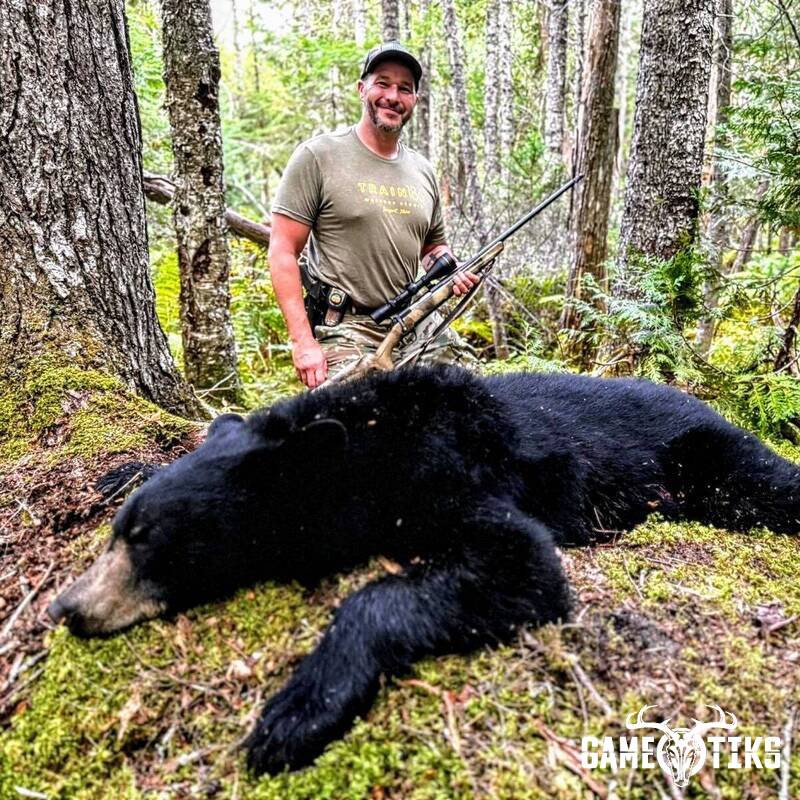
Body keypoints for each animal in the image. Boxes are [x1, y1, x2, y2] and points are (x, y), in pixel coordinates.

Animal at [47, 366, 800, 775]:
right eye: (121, 532)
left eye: (148, 541)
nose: (64, 608)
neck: (377, 448)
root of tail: (698, 397)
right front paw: (118, 472)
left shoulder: (460, 481)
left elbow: (519, 564)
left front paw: (299, 710)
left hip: (707, 457)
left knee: (770, 483)